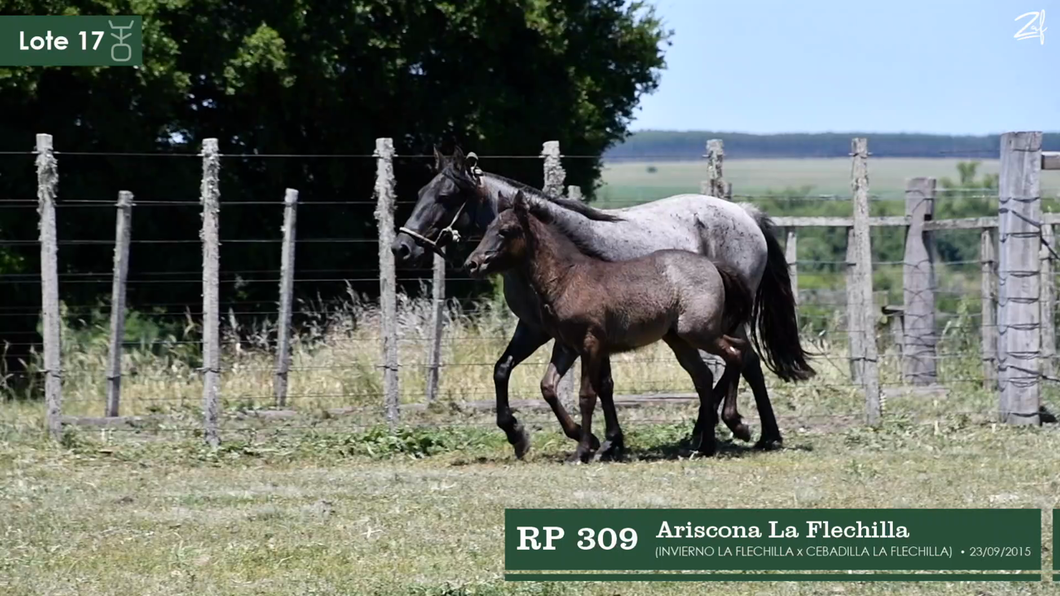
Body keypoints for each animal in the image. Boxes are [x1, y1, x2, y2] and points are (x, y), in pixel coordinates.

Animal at [464, 189, 754, 460]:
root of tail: (713, 265)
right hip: (679, 339)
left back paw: (737, 425)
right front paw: (588, 440)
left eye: (505, 231)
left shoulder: (590, 344)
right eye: (487, 228)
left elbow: (587, 395)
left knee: (735, 352)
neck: (567, 278)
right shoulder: (566, 345)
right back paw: (706, 445)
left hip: (698, 331)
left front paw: (582, 450)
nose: (472, 263)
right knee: (704, 375)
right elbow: (548, 386)